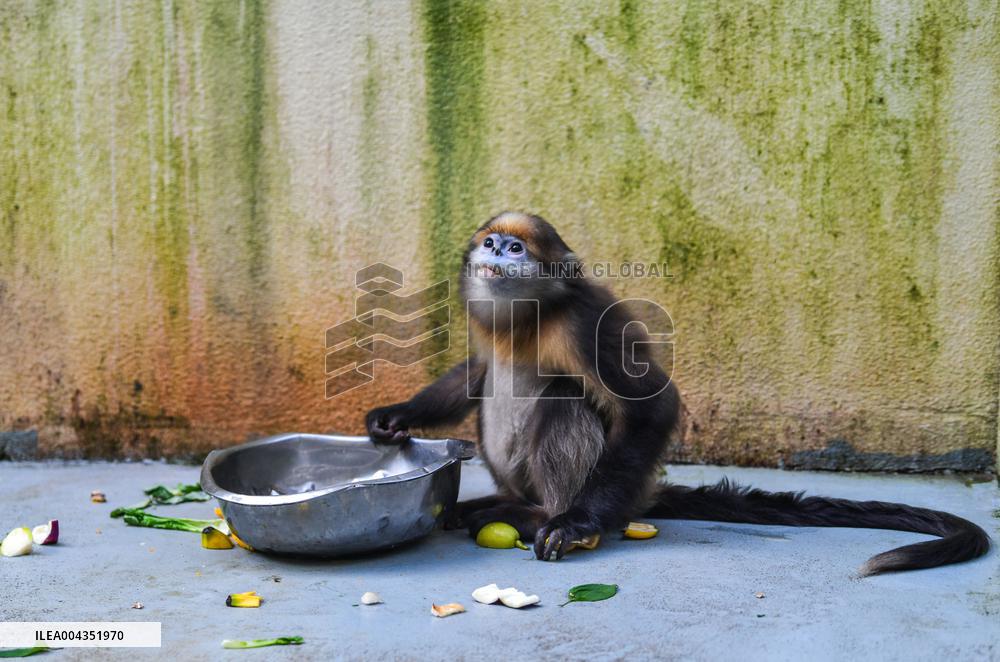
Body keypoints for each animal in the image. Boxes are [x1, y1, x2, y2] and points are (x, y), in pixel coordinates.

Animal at [366, 211, 989, 574]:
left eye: (516, 250)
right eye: (491, 242)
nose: (495, 251)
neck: (527, 321)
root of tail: (636, 497)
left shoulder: (584, 322)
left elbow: (652, 404)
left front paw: (575, 524)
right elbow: (476, 371)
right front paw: (396, 416)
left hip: (606, 485)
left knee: (564, 397)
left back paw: (541, 514)